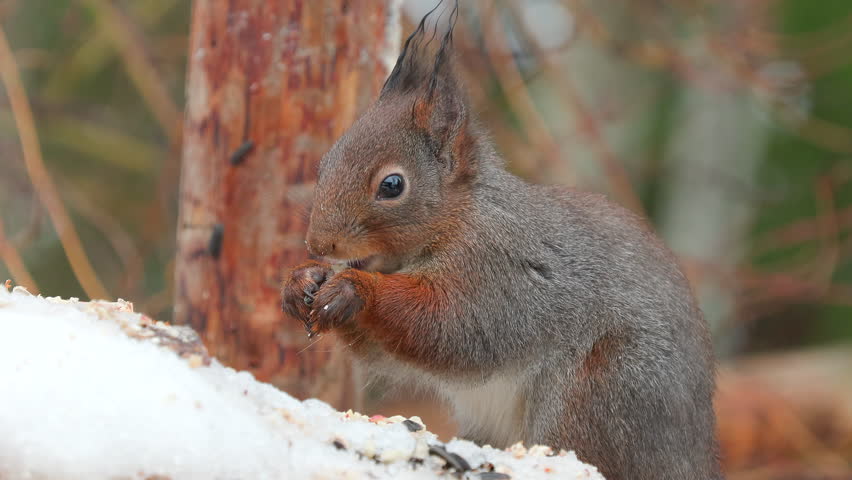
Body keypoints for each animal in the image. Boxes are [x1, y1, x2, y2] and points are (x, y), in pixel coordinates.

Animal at [282, 4, 722, 479]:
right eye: (325, 162)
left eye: (392, 185)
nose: (319, 244)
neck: (454, 222)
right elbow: (386, 350)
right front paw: (302, 281)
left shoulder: (498, 271)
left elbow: (450, 326)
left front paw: (354, 289)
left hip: (604, 389)